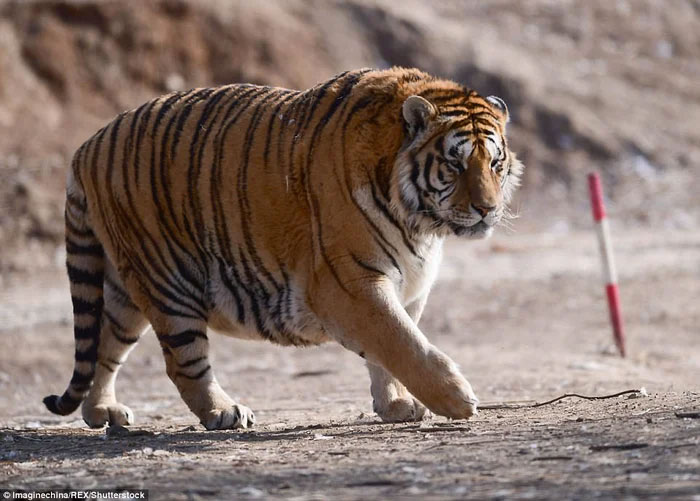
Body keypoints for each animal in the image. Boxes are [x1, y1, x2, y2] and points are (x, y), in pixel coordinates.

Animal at [43, 67, 523, 430]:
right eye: (455, 163)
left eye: (496, 163)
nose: (487, 209)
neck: (421, 222)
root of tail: (87, 146)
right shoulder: (348, 282)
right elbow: (400, 339)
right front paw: (455, 398)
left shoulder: (408, 285)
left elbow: (391, 348)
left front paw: (397, 404)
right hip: (166, 279)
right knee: (183, 362)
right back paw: (224, 412)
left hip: (127, 289)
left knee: (104, 343)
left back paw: (103, 411)